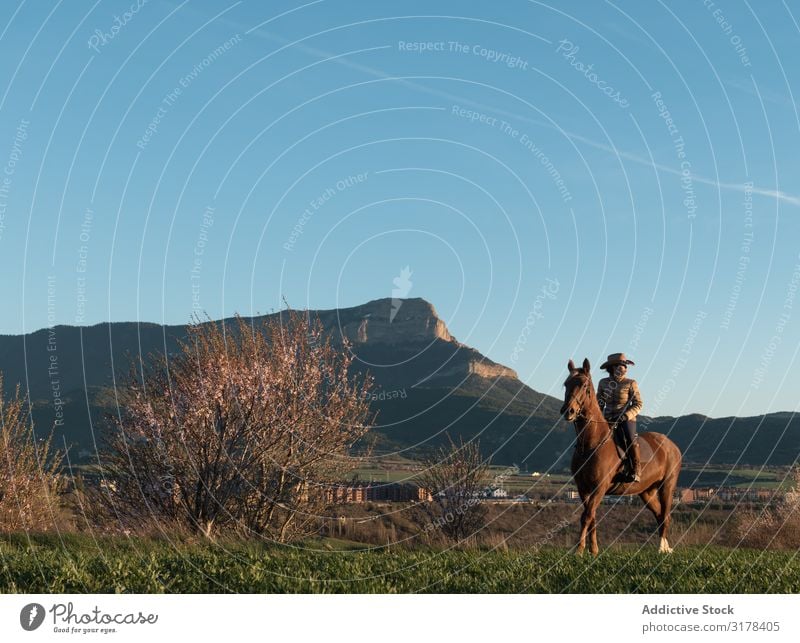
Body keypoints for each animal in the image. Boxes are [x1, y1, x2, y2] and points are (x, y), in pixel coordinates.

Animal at [564, 360, 680, 556]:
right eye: (566, 384)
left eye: (584, 385)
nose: (568, 411)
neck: (591, 443)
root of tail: (672, 445)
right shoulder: (583, 489)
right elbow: (591, 517)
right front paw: (593, 550)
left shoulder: (599, 487)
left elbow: (586, 517)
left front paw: (579, 550)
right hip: (646, 491)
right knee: (659, 515)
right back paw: (664, 548)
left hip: (667, 486)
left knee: (665, 516)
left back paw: (661, 548)